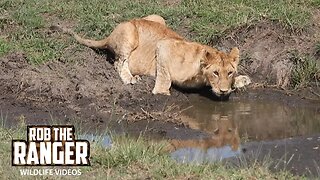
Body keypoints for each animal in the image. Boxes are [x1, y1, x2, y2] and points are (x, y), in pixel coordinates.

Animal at [56, 14, 249, 97]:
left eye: (229, 72)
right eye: (215, 72)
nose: (224, 91)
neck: (201, 76)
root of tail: (110, 34)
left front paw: (241, 80)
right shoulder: (163, 46)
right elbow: (164, 75)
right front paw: (162, 91)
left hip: (158, 18)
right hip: (129, 32)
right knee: (119, 62)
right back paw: (130, 78)